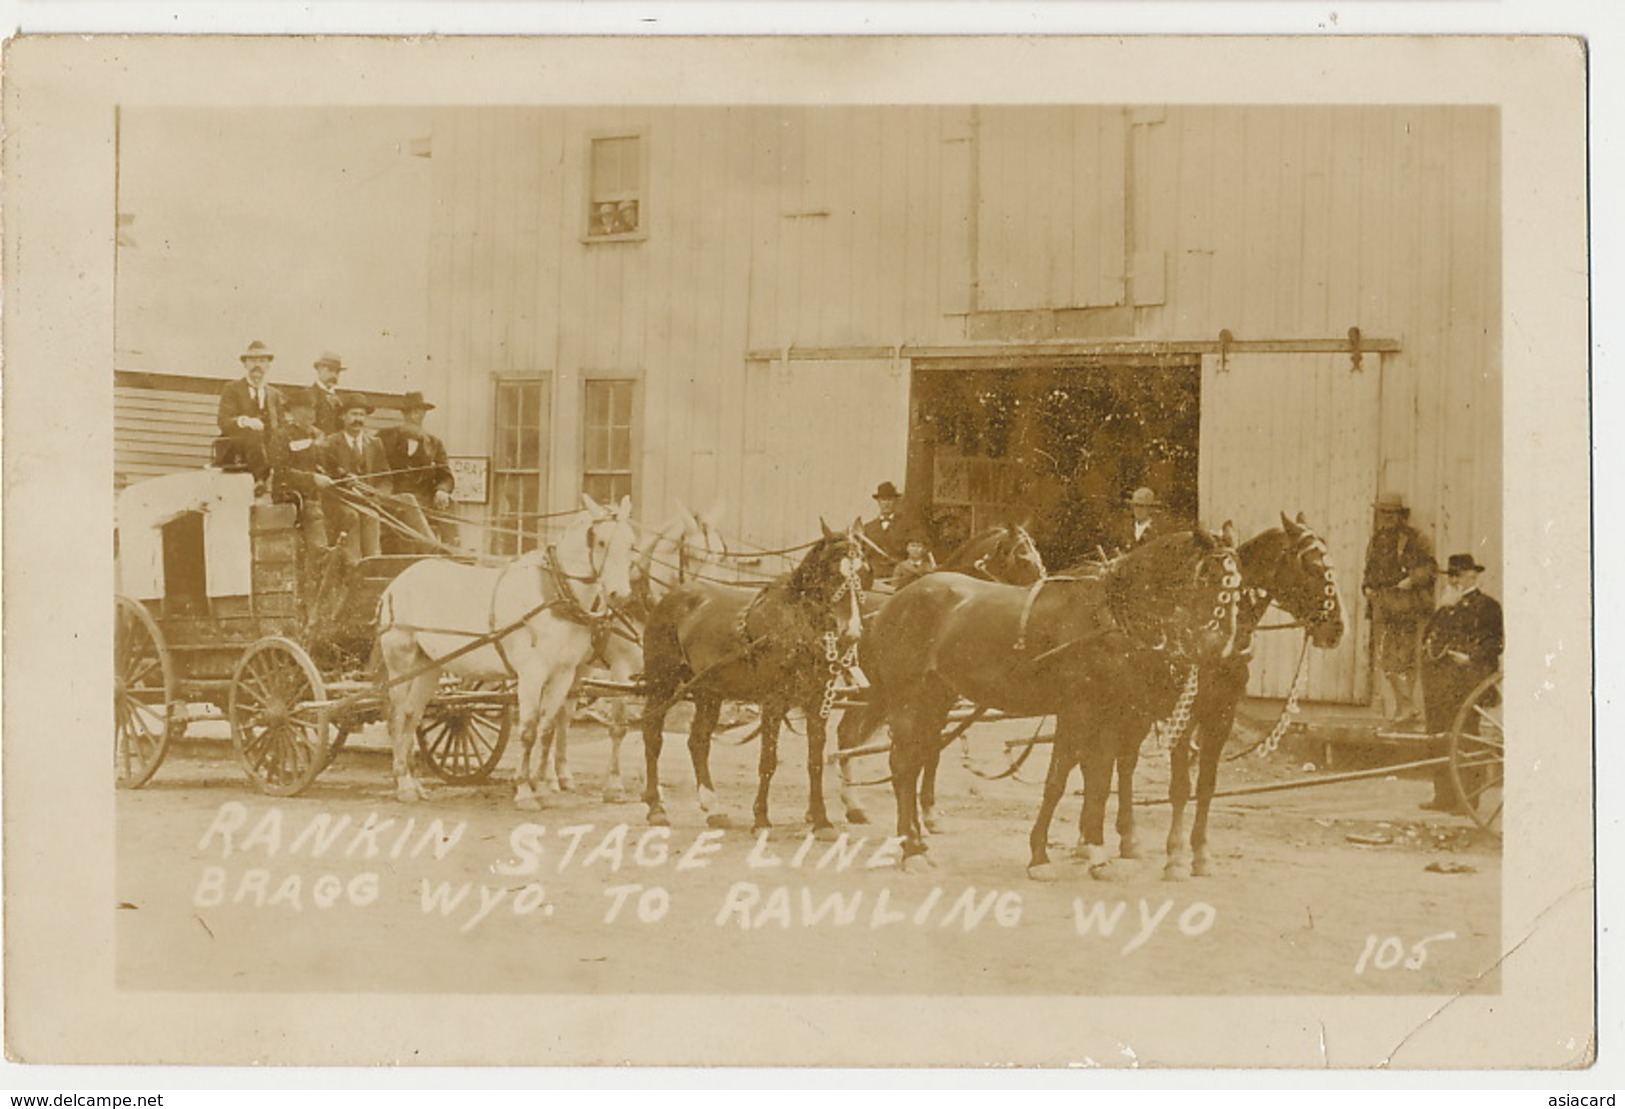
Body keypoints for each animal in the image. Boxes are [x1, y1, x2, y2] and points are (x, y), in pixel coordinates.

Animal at [377, 491, 637, 803]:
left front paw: (542, 787)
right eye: (600, 542)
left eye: (631, 544)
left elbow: (546, 730)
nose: (620, 595)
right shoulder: (531, 674)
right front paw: (525, 791)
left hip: (427, 665)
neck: (554, 592)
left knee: (411, 716)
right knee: (395, 718)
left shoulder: (563, 674)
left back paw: (414, 783)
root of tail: (397, 583)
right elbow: (527, 731)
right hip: (400, 662)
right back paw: (402, 783)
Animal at [546, 497, 731, 800]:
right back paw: (549, 777)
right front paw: (614, 784)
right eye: (691, 555)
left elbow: (653, 722)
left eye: (721, 554)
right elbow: (619, 727)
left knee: (564, 713)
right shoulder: (622, 671)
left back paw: (562, 774)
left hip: (579, 665)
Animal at [633, 517, 871, 829]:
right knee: (652, 731)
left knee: (698, 740)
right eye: (832, 571)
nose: (852, 633)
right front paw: (761, 818)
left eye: (865, 571)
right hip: (663, 681)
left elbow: (815, 761)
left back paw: (714, 808)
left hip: (709, 691)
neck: (797, 625)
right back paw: (655, 806)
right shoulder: (773, 702)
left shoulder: (819, 702)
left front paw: (821, 821)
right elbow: (768, 761)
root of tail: (670, 595)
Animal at [871, 530, 1235, 871]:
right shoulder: (1077, 709)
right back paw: (911, 848)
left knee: (917, 761)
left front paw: (1094, 848)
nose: (1222, 650)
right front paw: (1042, 855)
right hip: (907, 698)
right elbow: (1061, 779)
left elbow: (1099, 777)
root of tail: (897, 600)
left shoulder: (1108, 712)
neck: (1105, 617)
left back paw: (915, 841)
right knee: (902, 765)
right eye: (1209, 576)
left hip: (933, 699)